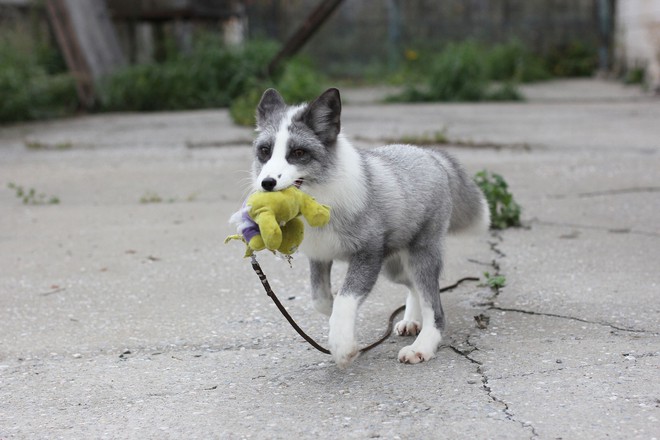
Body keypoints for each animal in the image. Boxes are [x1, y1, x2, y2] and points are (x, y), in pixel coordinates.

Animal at [250, 87, 488, 366]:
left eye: (298, 153)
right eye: (265, 151)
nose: (266, 183)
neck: (320, 198)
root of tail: (429, 154)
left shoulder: (368, 254)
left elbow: (344, 300)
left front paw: (343, 346)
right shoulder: (320, 256)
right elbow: (321, 300)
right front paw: (341, 330)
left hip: (420, 255)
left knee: (434, 305)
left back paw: (423, 345)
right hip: (393, 267)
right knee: (413, 286)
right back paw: (411, 320)